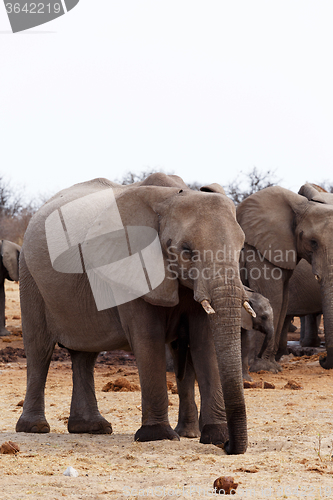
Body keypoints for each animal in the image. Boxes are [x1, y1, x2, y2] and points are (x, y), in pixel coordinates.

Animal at [14, 174, 249, 456]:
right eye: (186, 250)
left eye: (240, 249)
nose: (228, 447)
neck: (169, 198)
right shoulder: (131, 266)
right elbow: (148, 338)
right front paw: (158, 436)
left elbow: (205, 343)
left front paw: (215, 435)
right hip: (30, 276)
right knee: (39, 350)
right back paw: (34, 428)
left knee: (85, 356)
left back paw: (92, 428)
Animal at [236, 184, 333, 372]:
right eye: (313, 242)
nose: (323, 359)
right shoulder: (260, 251)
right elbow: (273, 297)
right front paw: (264, 368)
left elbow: (284, 301)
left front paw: (271, 365)